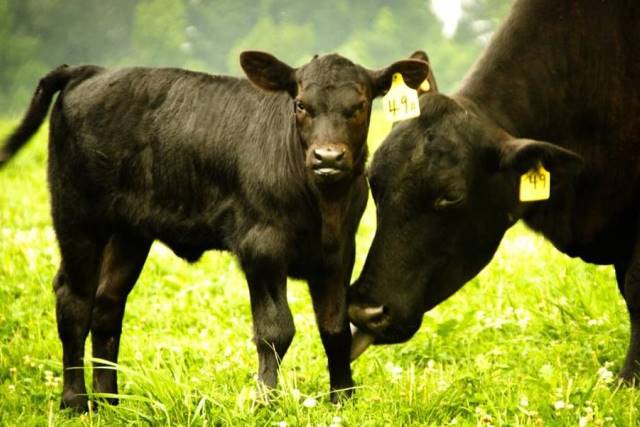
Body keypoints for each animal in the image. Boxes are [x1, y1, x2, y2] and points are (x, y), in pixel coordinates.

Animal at [1, 51, 430, 412]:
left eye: (359, 106)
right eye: (301, 105)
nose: (328, 157)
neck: (324, 205)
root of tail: (89, 70)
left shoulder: (338, 254)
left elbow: (334, 327)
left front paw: (343, 398)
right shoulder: (261, 247)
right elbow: (275, 330)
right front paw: (265, 403)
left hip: (129, 233)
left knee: (107, 304)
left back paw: (111, 401)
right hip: (77, 218)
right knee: (74, 299)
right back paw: (76, 401)